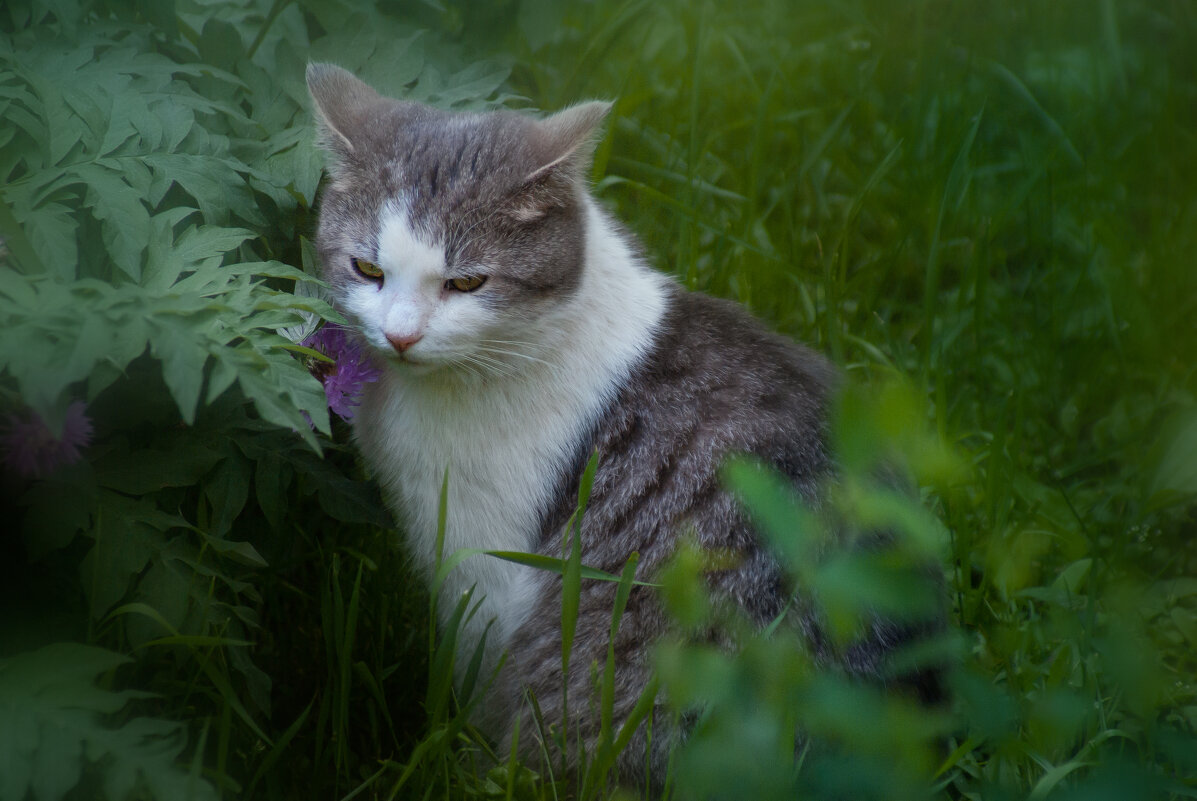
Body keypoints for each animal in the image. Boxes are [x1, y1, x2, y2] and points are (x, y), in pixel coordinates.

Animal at [304, 62, 938, 785]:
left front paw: (463, 756)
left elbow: (481, 677)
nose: (401, 334)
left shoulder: (483, 565)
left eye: (467, 283)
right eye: (367, 269)